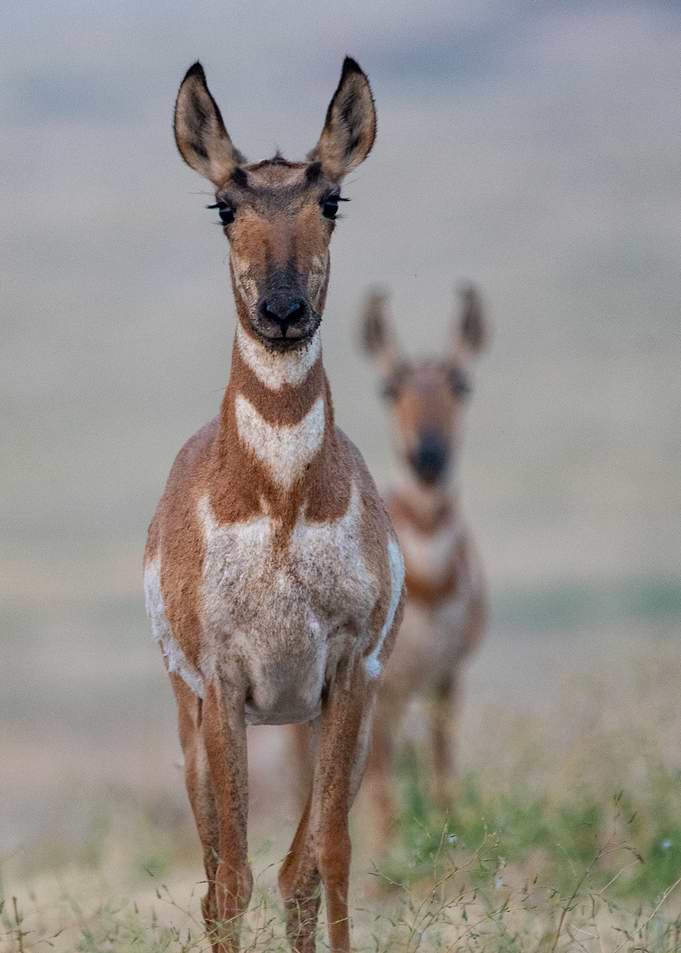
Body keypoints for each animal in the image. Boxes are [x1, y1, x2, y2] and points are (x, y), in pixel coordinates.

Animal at [143, 58, 405, 953]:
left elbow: (330, 855)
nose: (284, 311)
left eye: (331, 200)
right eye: (225, 205)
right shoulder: (222, 683)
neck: (284, 503)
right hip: (190, 714)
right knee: (217, 877)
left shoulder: (346, 672)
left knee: (297, 870)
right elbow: (230, 879)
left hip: (319, 714)